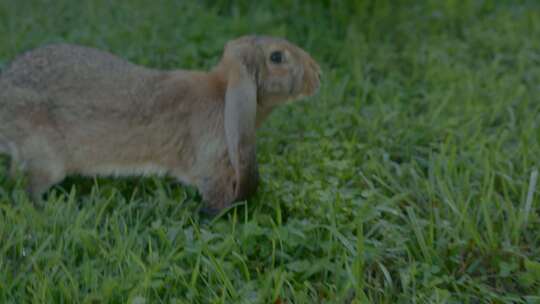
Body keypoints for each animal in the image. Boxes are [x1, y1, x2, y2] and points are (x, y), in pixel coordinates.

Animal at [0, 34, 320, 213]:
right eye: (277, 57)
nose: (316, 74)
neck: (223, 93)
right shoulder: (212, 166)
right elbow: (214, 195)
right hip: (47, 158)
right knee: (27, 187)